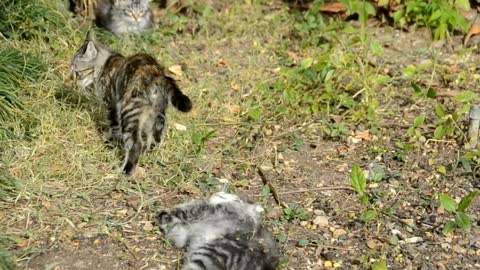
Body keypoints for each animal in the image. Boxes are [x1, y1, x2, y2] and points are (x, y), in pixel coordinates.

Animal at [71, 31, 191, 175]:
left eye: (77, 73)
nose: (73, 81)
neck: (105, 63)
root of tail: (156, 74)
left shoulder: (112, 105)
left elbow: (114, 127)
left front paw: (111, 141)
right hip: (157, 114)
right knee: (155, 137)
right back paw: (147, 153)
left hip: (129, 112)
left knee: (136, 143)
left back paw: (126, 170)